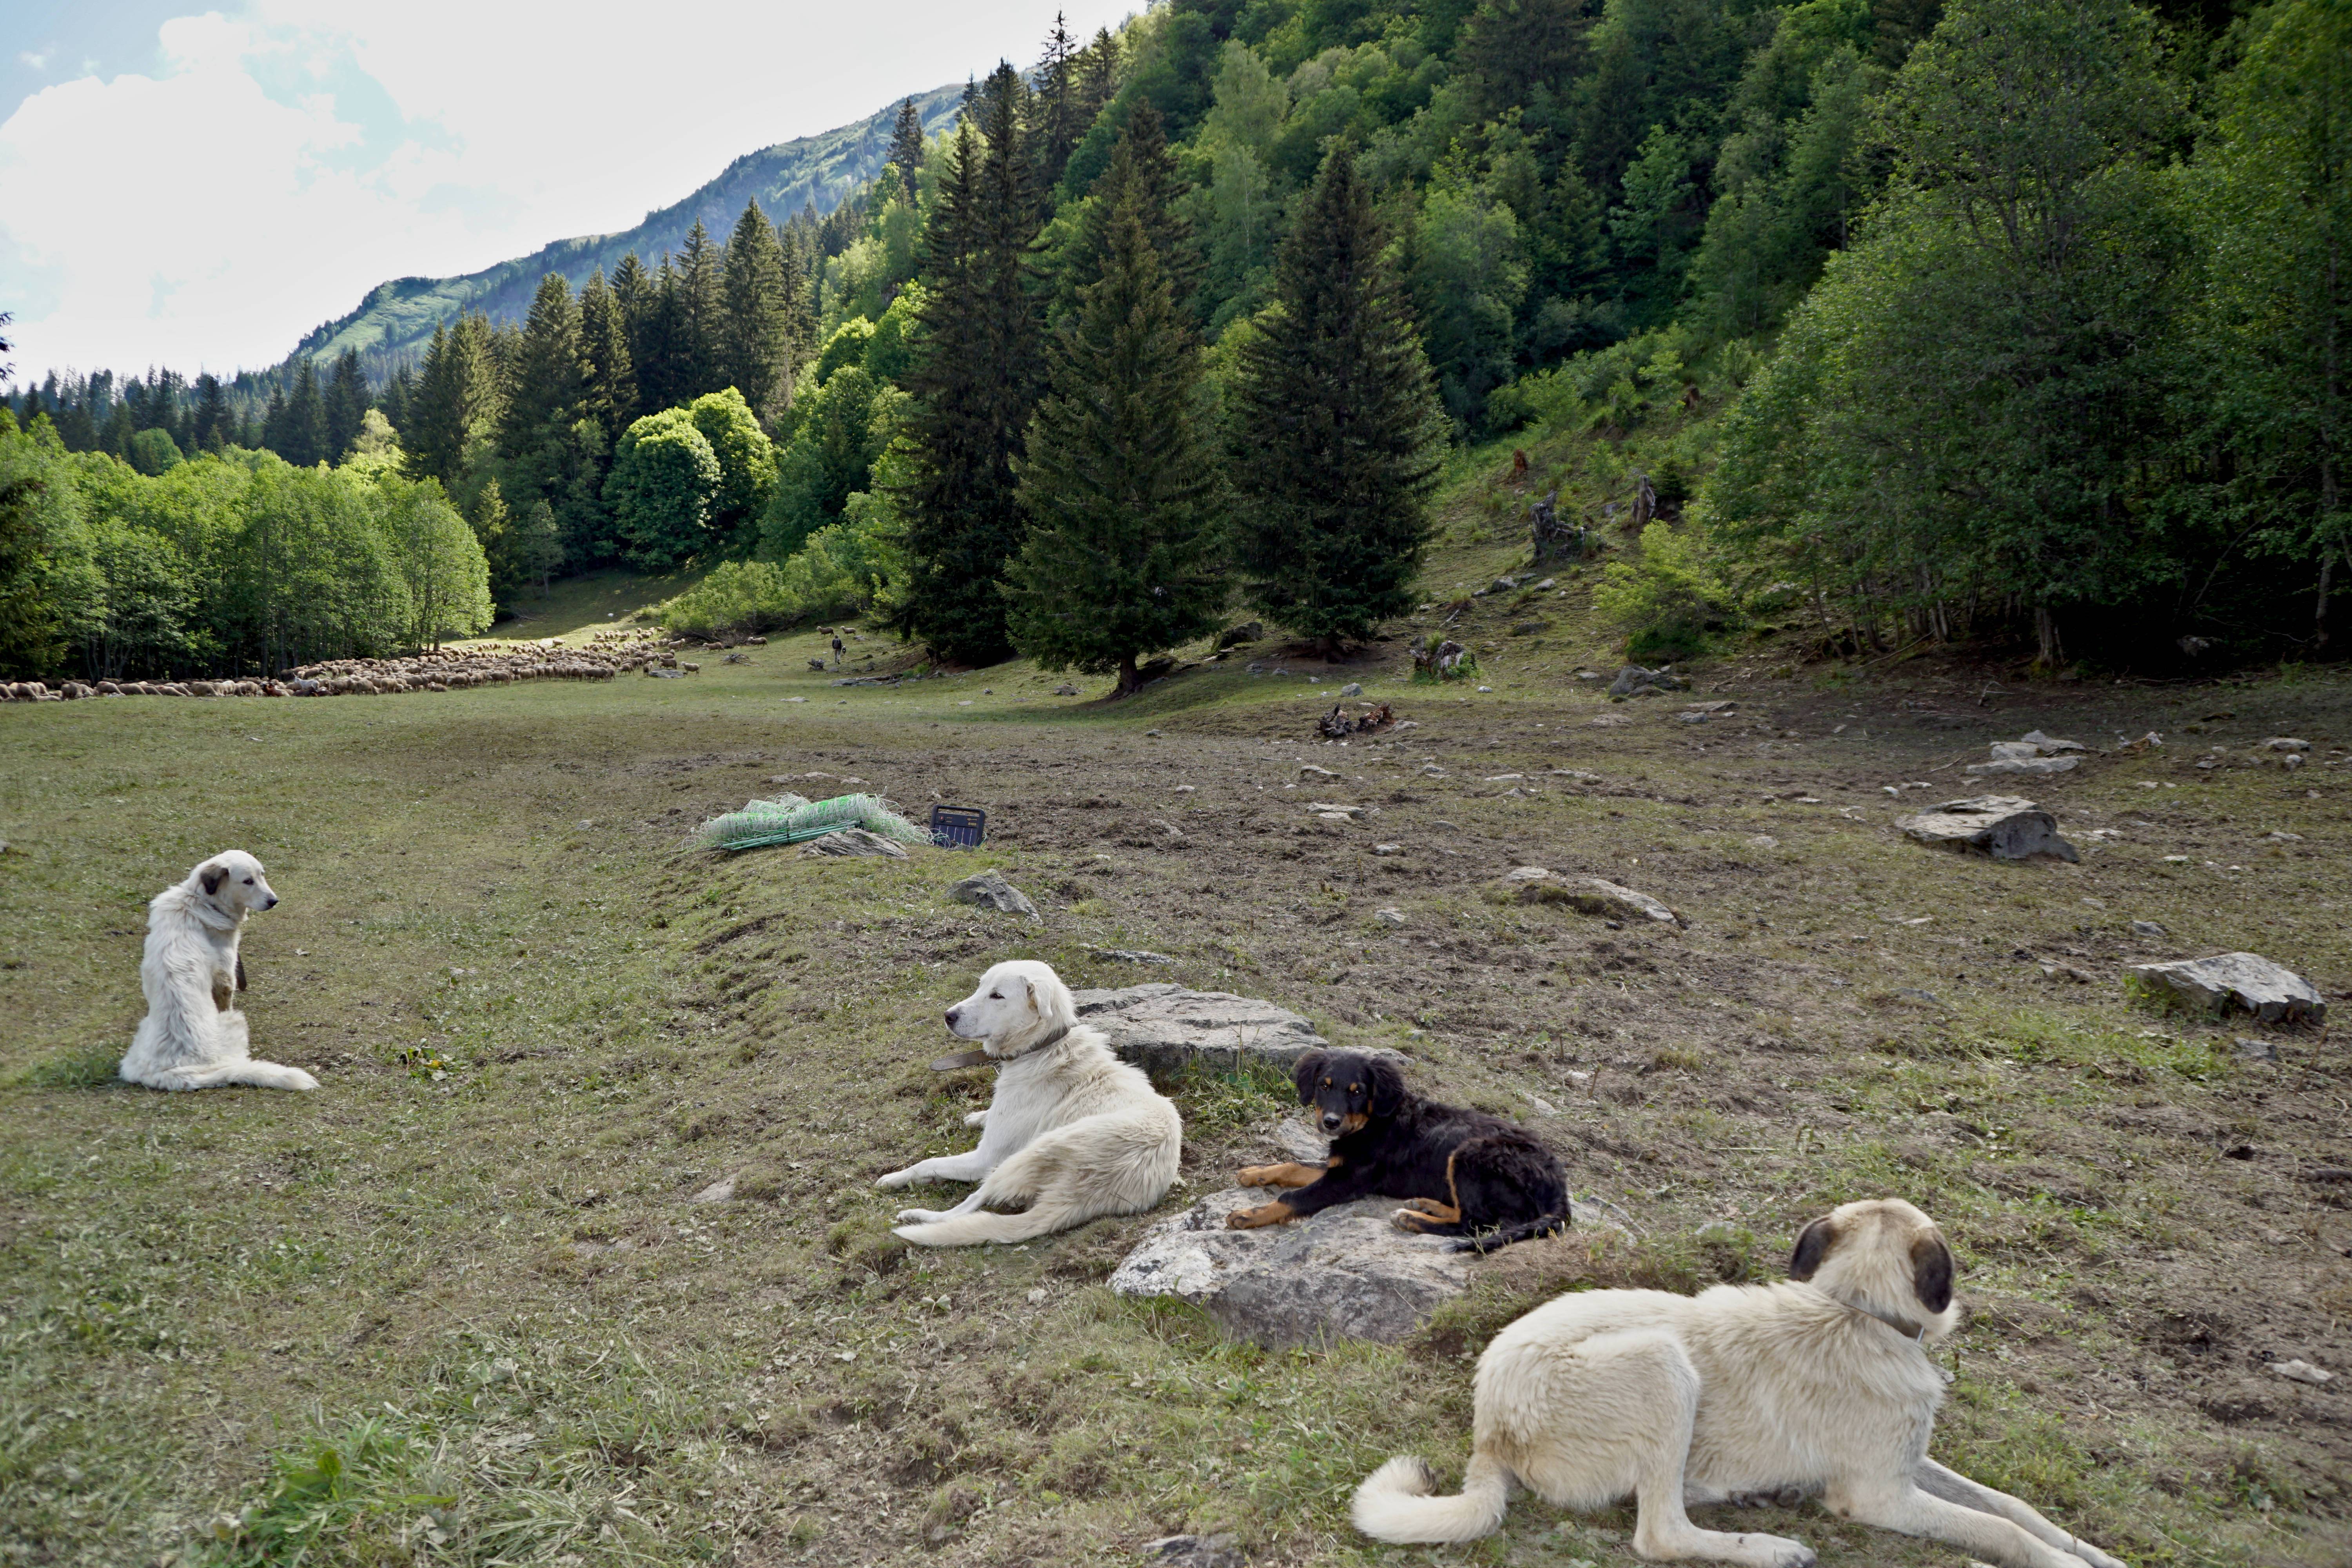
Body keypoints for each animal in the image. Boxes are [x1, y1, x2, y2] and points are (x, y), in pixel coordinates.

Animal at [116, 851, 320, 1100]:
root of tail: (177, 1073)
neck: (201, 902)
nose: (274, 901)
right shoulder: (225, 979)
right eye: (248, 881)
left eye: (262, 875)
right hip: (235, 1021)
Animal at [880, 959, 1185, 1250]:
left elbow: (927, 1163)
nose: (948, 1016)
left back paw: (918, 1216)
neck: (1041, 1047)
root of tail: (1077, 1197)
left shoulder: (985, 1158)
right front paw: (979, 1116)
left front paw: (895, 1177)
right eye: (980, 987)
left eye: (997, 996)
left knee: (966, 1207)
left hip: (1026, 1154)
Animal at [1223, 1048, 1571, 1260]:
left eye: (1358, 1092)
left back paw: (1412, 1218)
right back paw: (1427, 1205)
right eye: (1324, 1086)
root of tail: (1559, 1185)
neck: (1373, 1123)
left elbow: (1291, 1198)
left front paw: (1249, 1215)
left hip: (1469, 1153)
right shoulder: (1342, 1168)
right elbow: (1293, 1167)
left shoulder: (1348, 1181)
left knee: (1474, 1224)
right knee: (1466, 1213)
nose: (1331, 1122)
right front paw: (1255, 1173)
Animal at [1355, 1203, 2126, 1568]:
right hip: (1663, 1366)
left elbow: (2013, 1505)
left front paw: (2094, 1550)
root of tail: (1489, 1432)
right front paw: (2063, 1561)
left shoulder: (1911, 1465)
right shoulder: (1882, 1495)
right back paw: (1769, 1547)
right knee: (1660, 1534)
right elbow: (2000, 1530)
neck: (1856, 1309)